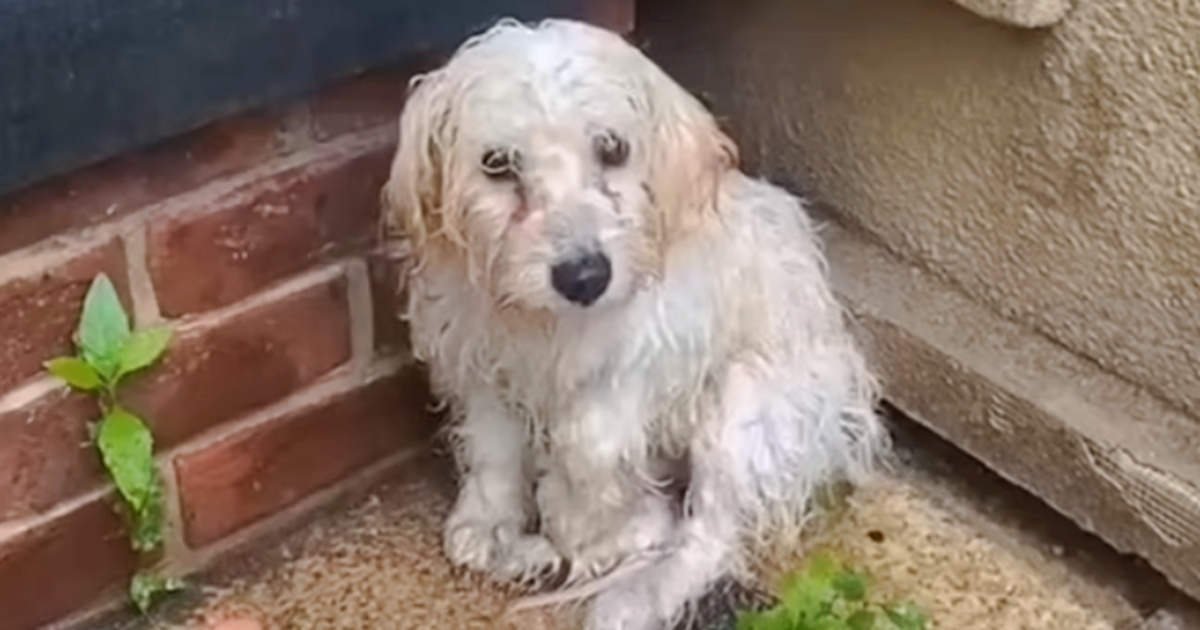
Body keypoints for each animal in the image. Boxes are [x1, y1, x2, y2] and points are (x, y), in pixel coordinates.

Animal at [379, 17, 888, 624]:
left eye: (612, 147)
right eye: (497, 164)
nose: (584, 276)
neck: (549, 327)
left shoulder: (640, 361)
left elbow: (587, 448)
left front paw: (591, 534)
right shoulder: (480, 357)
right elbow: (493, 449)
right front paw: (490, 528)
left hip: (745, 410)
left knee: (709, 537)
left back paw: (633, 593)